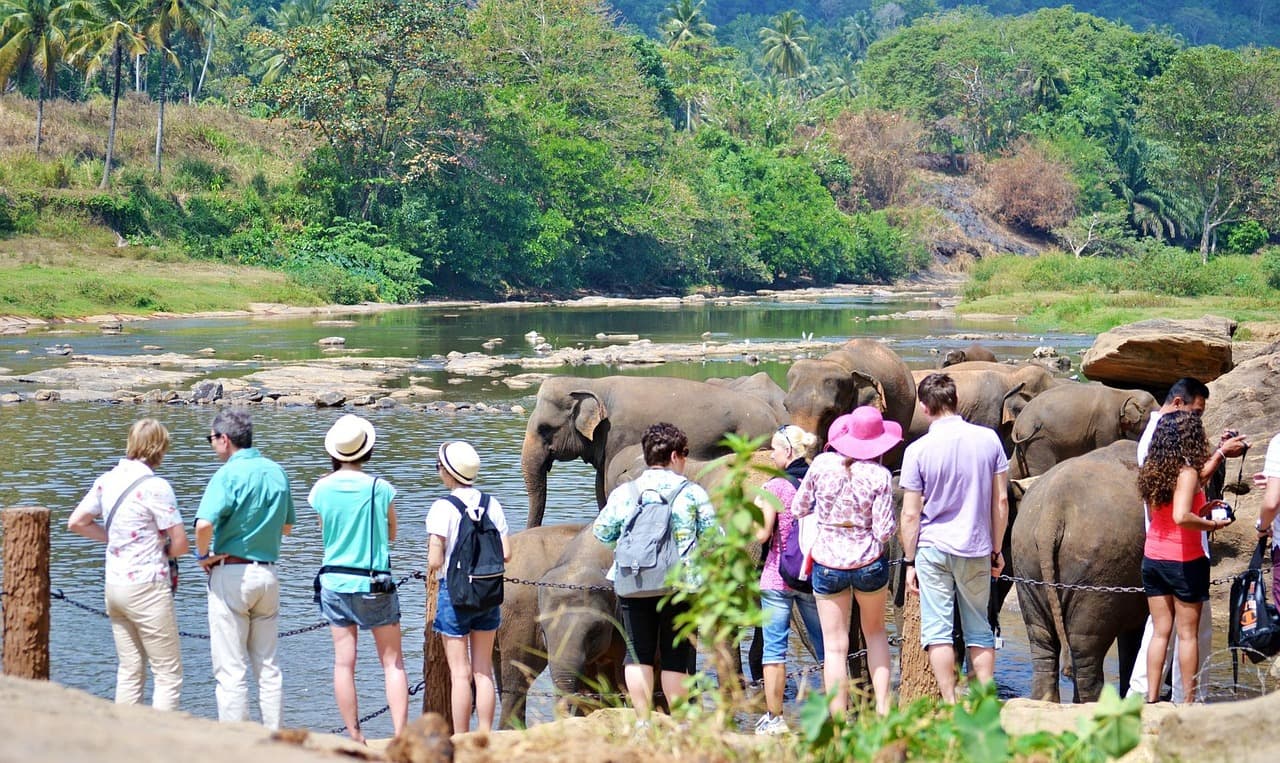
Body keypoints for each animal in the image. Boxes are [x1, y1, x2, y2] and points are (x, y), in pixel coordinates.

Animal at [522, 375, 783, 528]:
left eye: (544, 429)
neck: (592, 384)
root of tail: (775, 417)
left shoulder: (618, 434)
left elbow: (606, 484)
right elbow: (599, 486)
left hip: (752, 435)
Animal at [1009, 383, 1158, 479]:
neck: (1123, 393)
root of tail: (1017, 425)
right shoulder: (1105, 423)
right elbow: (1106, 444)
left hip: (1023, 444)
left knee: (1015, 469)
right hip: (1037, 441)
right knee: (1041, 468)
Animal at [1010, 440, 1148, 703]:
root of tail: (1051, 512)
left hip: (1026, 561)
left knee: (1042, 639)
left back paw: (1047, 701)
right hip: (1099, 571)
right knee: (1085, 647)